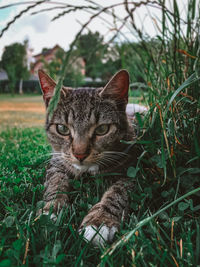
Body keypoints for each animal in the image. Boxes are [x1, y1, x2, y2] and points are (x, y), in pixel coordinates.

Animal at [38, 69, 141, 247]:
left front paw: (99, 221)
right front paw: (50, 209)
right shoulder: (56, 162)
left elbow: (118, 191)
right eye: (62, 128)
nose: (80, 154)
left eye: (102, 129)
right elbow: (55, 182)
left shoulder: (134, 168)